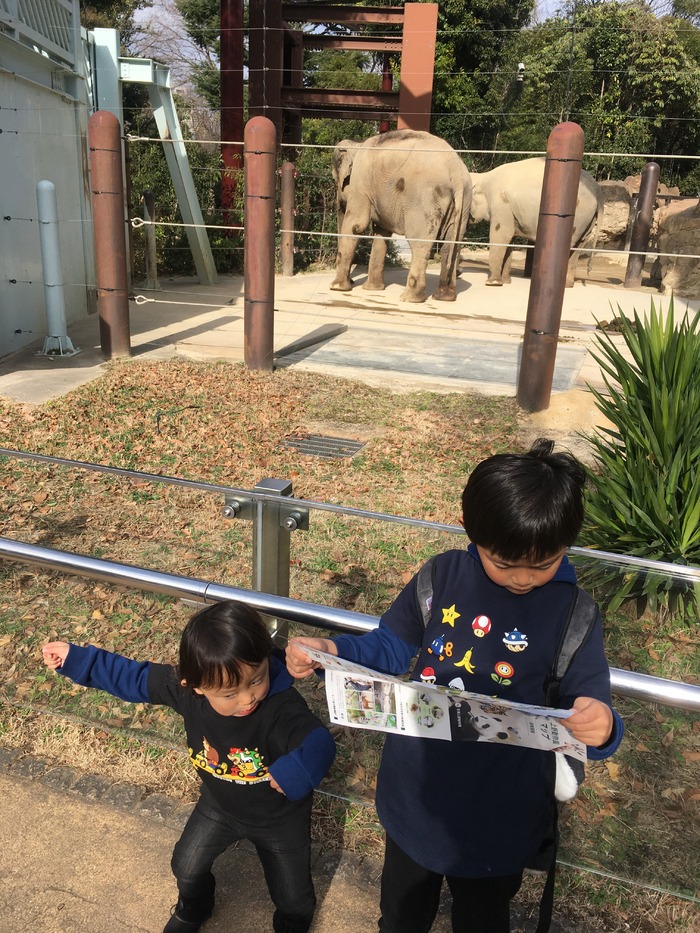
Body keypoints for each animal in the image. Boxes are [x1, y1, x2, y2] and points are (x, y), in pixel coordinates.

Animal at [330, 127, 474, 300]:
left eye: (336, 179)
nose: (351, 280)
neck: (357, 143)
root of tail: (456, 174)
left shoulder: (361, 179)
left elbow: (356, 224)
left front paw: (337, 288)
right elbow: (382, 232)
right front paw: (372, 289)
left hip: (424, 201)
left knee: (419, 245)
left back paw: (409, 298)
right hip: (464, 201)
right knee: (451, 245)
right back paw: (443, 297)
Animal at [470, 157, 608, 284]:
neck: (484, 176)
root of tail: (597, 189)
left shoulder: (500, 202)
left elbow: (502, 234)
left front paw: (493, 283)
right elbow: (510, 237)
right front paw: (506, 281)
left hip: (578, 215)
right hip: (588, 220)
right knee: (579, 244)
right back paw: (568, 284)